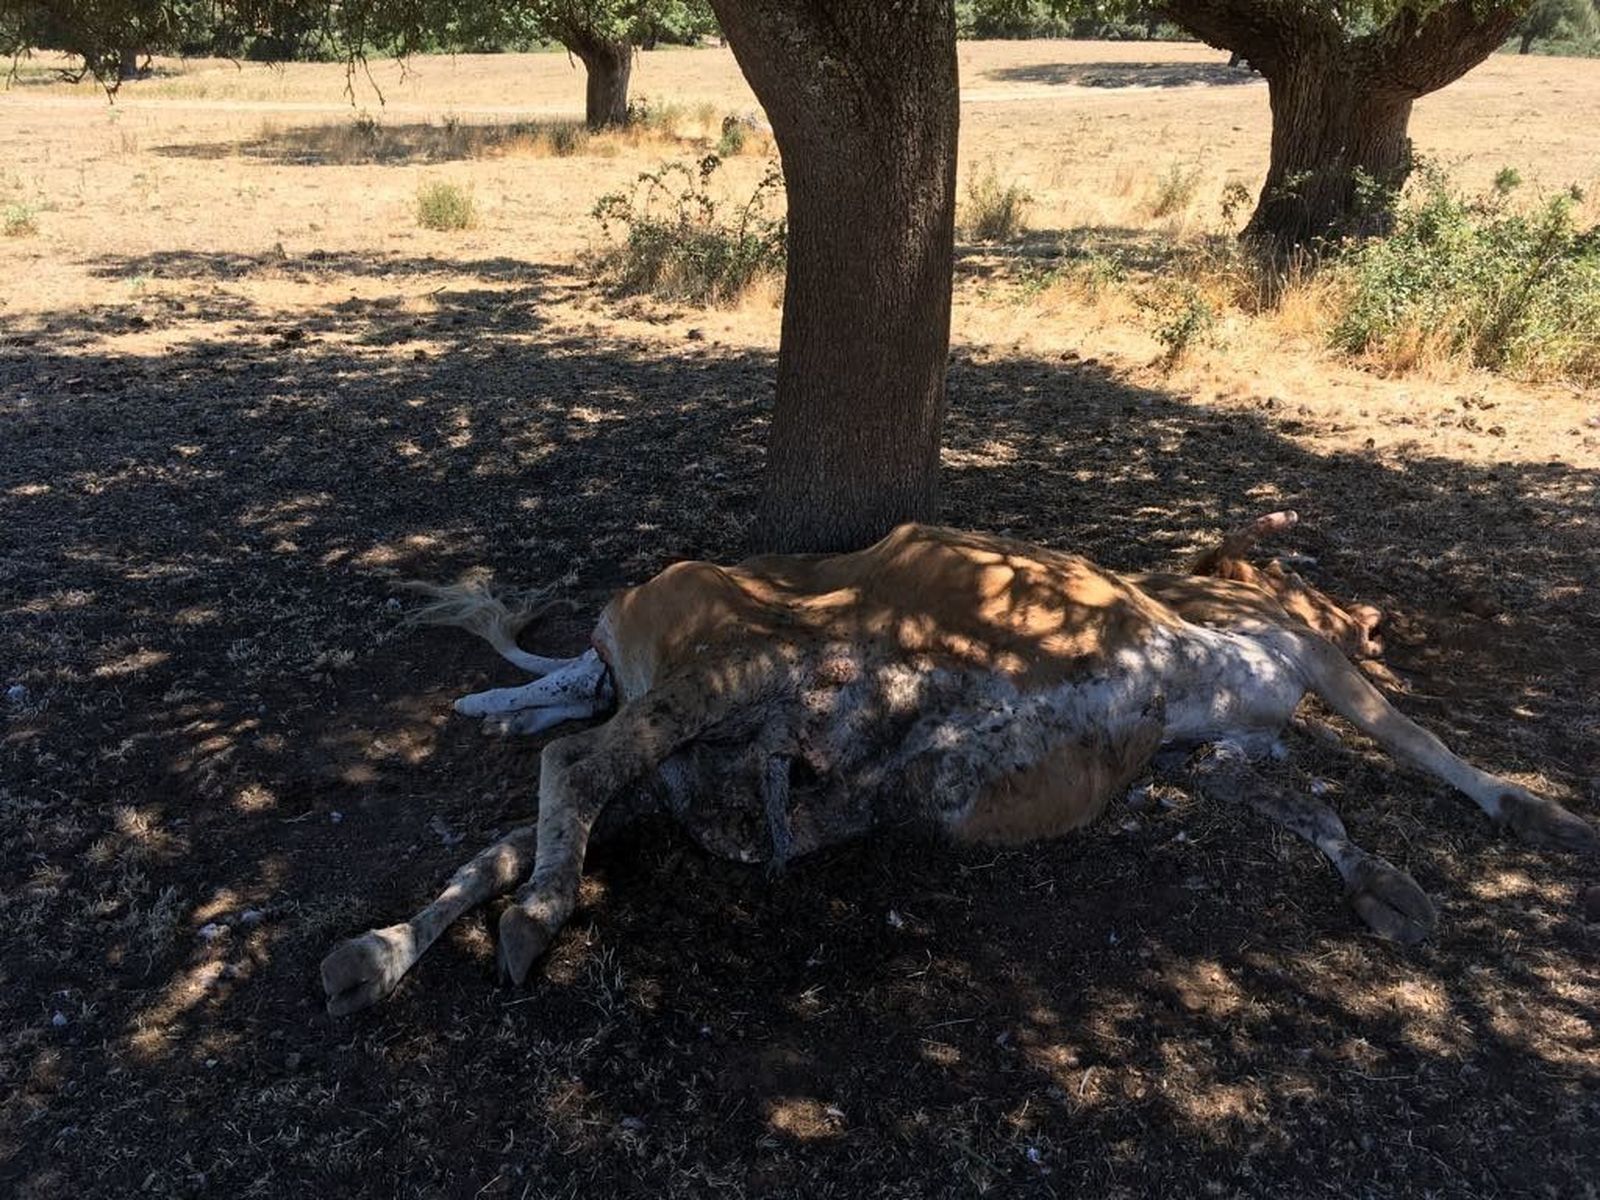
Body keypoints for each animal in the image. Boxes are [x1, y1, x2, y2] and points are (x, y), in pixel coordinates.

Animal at [319, 514, 1595, 1015]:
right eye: (1307, 575)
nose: (1373, 609)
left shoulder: (1227, 752)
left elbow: (1316, 814)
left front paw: (1387, 887)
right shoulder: (1312, 664)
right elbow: (1425, 744)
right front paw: (1539, 815)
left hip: (691, 770)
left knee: (515, 832)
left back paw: (376, 951)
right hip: (743, 671)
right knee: (570, 764)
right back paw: (530, 917)